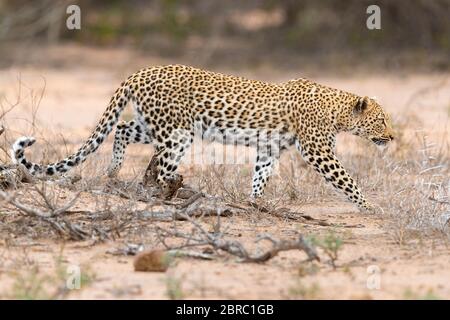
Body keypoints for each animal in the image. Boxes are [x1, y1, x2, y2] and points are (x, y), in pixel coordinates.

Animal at [10, 64, 394, 211]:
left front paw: (255, 203)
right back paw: (175, 192)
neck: (337, 110)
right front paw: (371, 206)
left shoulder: (269, 147)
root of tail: (139, 71)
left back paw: (115, 170)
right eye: (381, 120)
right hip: (176, 133)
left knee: (121, 130)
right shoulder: (319, 152)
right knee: (165, 170)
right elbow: (347, 180)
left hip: (156, 125)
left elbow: (261, 175)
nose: (391, 137)